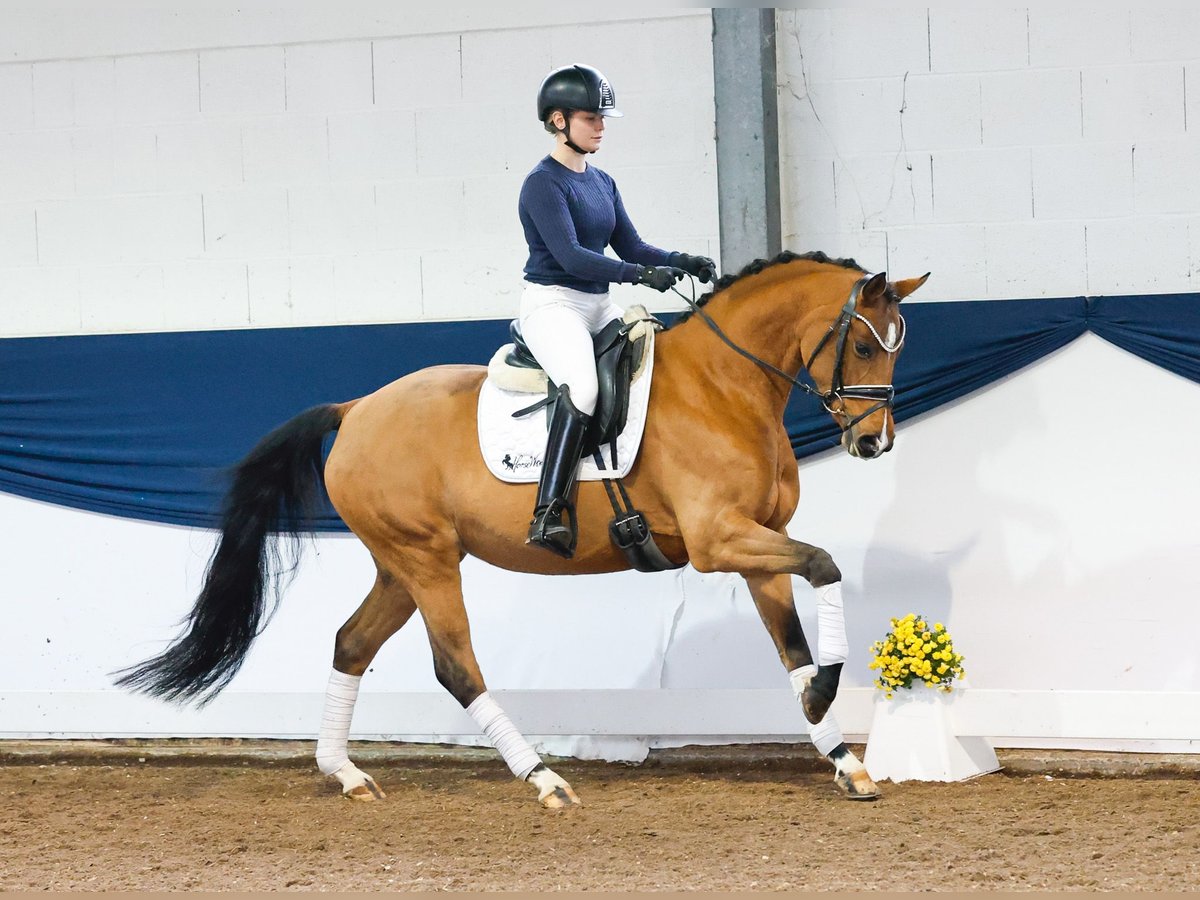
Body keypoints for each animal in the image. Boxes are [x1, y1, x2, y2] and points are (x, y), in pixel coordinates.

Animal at [114, 252, 926, 811]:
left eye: (899, 345)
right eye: (863, 345)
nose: (874, 443)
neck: (725, 387)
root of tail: (356, 408)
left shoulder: (756, 542)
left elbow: (791, 641)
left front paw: (841, 753)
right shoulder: (717, 541)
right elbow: (825, 565)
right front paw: (826, 697)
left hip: (400, 564)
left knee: (351, 643)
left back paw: (346, 774)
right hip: (428, 560)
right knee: (455, 667)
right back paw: (542, 778)